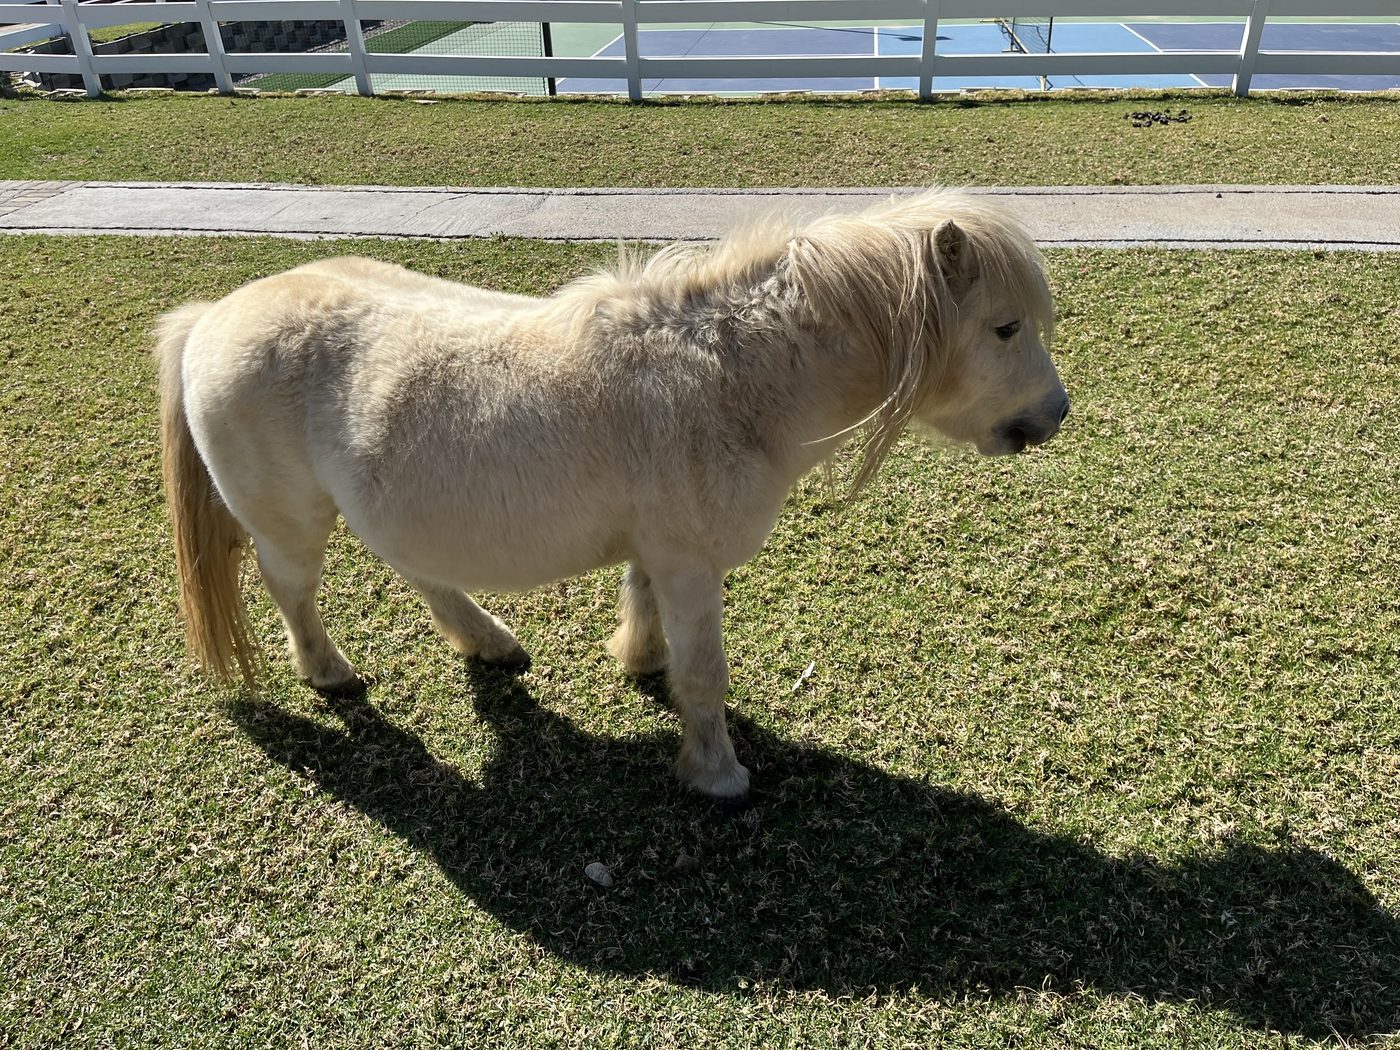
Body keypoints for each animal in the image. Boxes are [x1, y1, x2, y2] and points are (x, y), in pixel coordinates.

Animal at [156, 189, 1069, 803]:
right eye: (1004, 327)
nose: (1053, 416)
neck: (731, 375)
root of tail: (207, 321)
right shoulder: (691, 563)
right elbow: (706, 674)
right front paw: (716, 774)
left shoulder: (661, 551)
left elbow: (646, 612)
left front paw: (639, 661)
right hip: (291, 523)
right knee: (292, 590)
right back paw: (329, 672)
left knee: (416, 568)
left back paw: (486, 641)